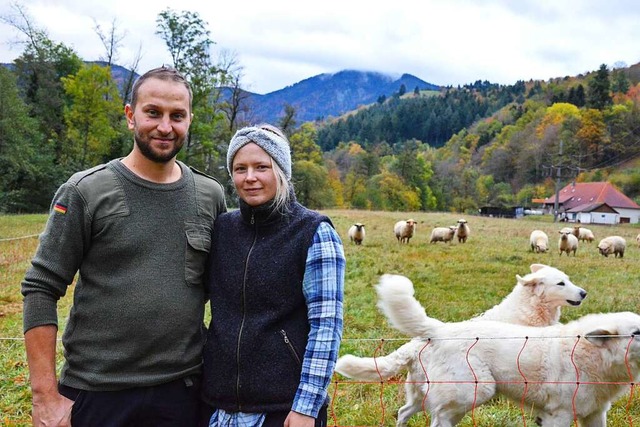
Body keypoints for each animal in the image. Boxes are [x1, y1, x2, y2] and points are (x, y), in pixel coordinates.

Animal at [336, 276, 640, 426]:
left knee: (403, 411)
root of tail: (439, 330)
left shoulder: (595, 415)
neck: (593, 355)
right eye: (637, 333)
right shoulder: (560, 414)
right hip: (474, 390)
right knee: (438, 419)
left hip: (423, 392)